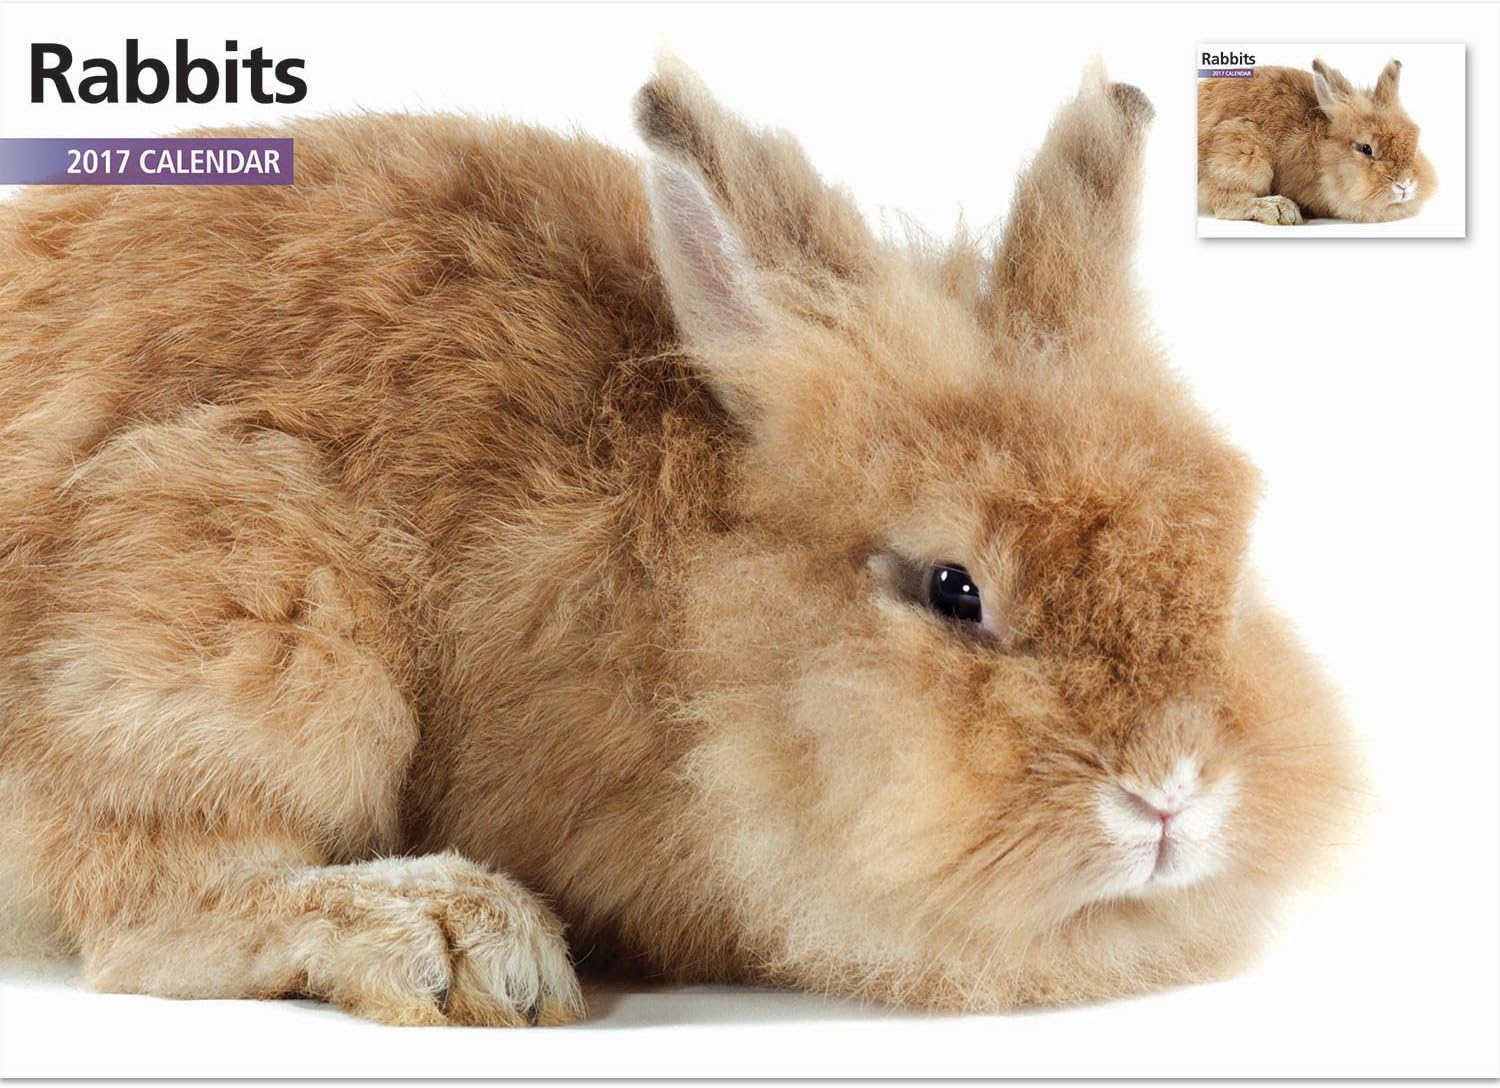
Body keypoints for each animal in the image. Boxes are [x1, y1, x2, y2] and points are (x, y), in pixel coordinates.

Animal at [0, 56, 1361, 1027]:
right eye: (953, 587)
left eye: (1232, 558)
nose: (1171, 790)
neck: (684, 610)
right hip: (257, 612)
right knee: (150, 917)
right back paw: (464, 941)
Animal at [1199, 57, 1437, 224]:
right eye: (1366, 148)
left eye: (1415, 142)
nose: (1404, 184)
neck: (1321, 153)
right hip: (1244, 151)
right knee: (1226, 205)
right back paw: (1281, 210)